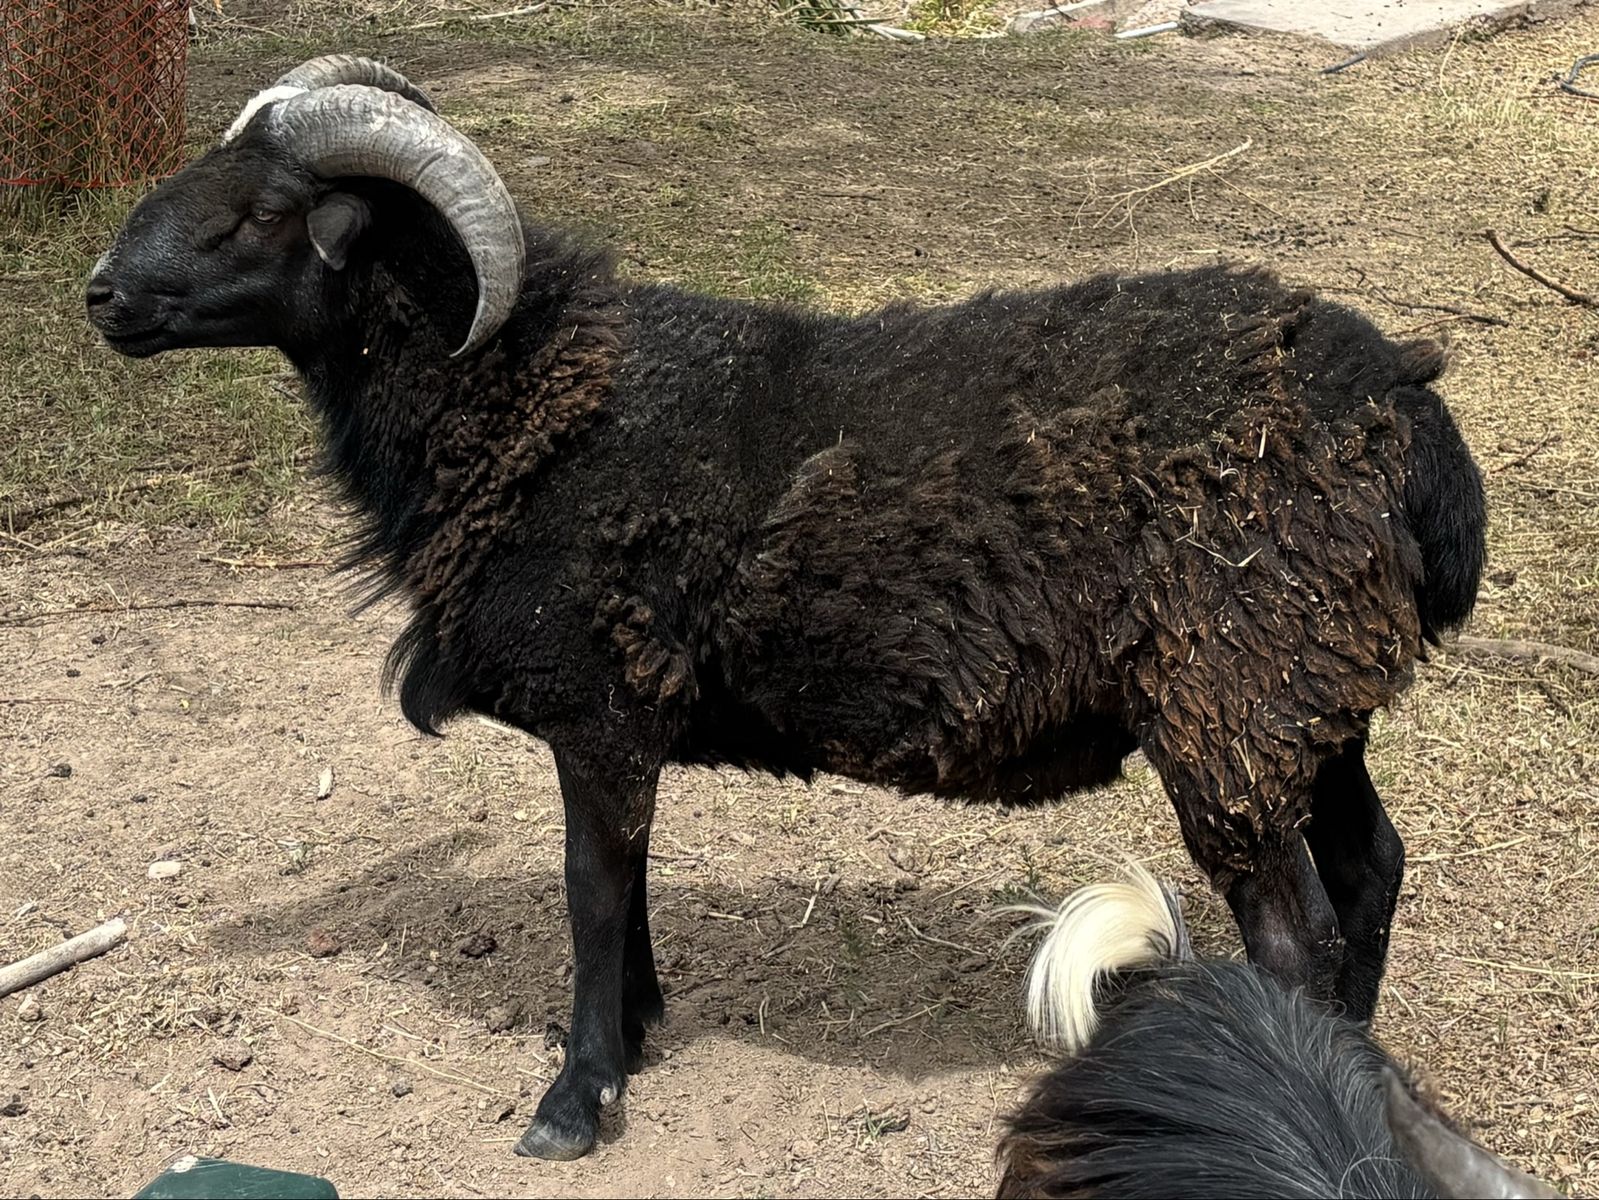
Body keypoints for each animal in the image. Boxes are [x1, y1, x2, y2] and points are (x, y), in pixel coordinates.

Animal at [85, 56, 1486, 1160]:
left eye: (266, 212)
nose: (100, 292)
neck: (525, 398)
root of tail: (1404, 407)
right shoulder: (624, 725)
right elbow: (629, 883)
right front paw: (638, 1032)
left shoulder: (598, 707)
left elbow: (590, 893)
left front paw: (575, 1100)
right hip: (1307, 691)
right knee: (1372, 868)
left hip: (1232, 699)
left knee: (1298, 934)